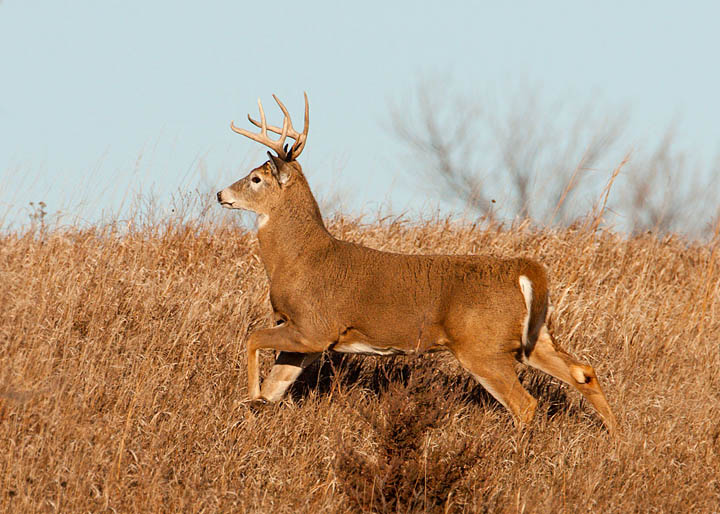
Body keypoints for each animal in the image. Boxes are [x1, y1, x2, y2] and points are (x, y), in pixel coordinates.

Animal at [218, 92, 620, 432]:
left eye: (256, 178)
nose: (221, 194)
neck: (297, 258)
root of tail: (526, 270)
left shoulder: (314, 327)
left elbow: (253, 340)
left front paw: (248, 397)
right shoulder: (308, 338)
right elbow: (275, 386)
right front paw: (254, 407)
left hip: (482, 347)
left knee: (525, 403)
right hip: (532, 338)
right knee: (583, 370)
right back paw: (615, 438)